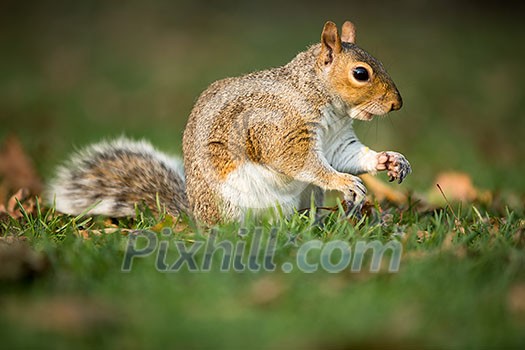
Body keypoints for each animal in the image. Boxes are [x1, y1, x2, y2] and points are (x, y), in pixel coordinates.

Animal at [46, 21, 410, 224]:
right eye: (360, 73)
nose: (397, 104)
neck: (325, 103)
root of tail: (197, 217)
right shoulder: (277, 127)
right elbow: (299, 161)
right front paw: (343, 182)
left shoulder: (337, 140)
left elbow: (347, 156)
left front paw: (389, 160)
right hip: (234, 200)